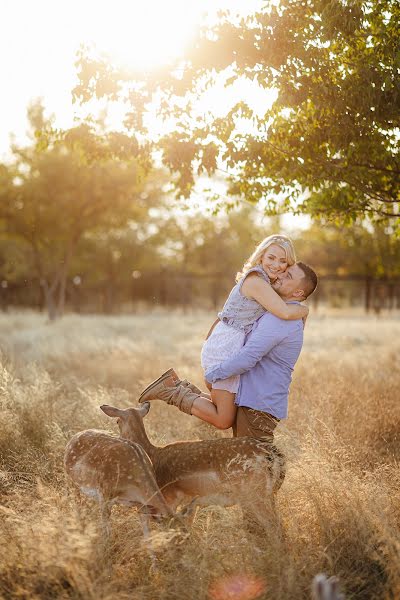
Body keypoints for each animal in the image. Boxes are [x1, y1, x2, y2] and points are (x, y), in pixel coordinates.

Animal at [100, 400, 286, 528]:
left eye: (117, 421)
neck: (153, 455)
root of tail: (271, 454)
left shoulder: (169, 498)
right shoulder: (191, 502)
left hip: (255, 495)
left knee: (273, 526)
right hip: (268, 494)